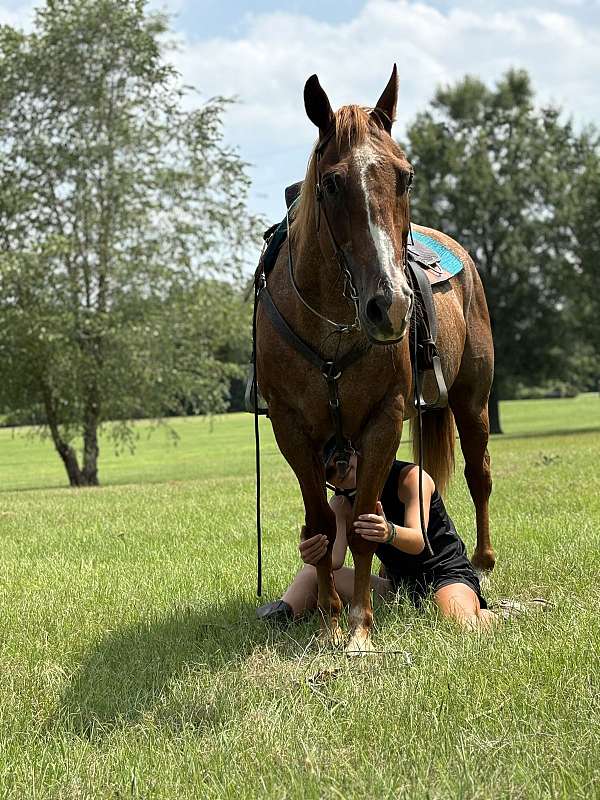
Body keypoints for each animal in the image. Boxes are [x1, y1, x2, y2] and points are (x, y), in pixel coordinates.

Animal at [255, 65, 494, 652]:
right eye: (332, 182)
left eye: (406, 177)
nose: (391, 305)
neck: (333, 329)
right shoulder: (292, 429)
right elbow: (322, 526)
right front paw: (329, 617)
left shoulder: (385, 418)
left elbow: (367, 519)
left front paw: (360, 626)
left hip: (472, 399)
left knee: (478, 474)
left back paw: (484, 558)